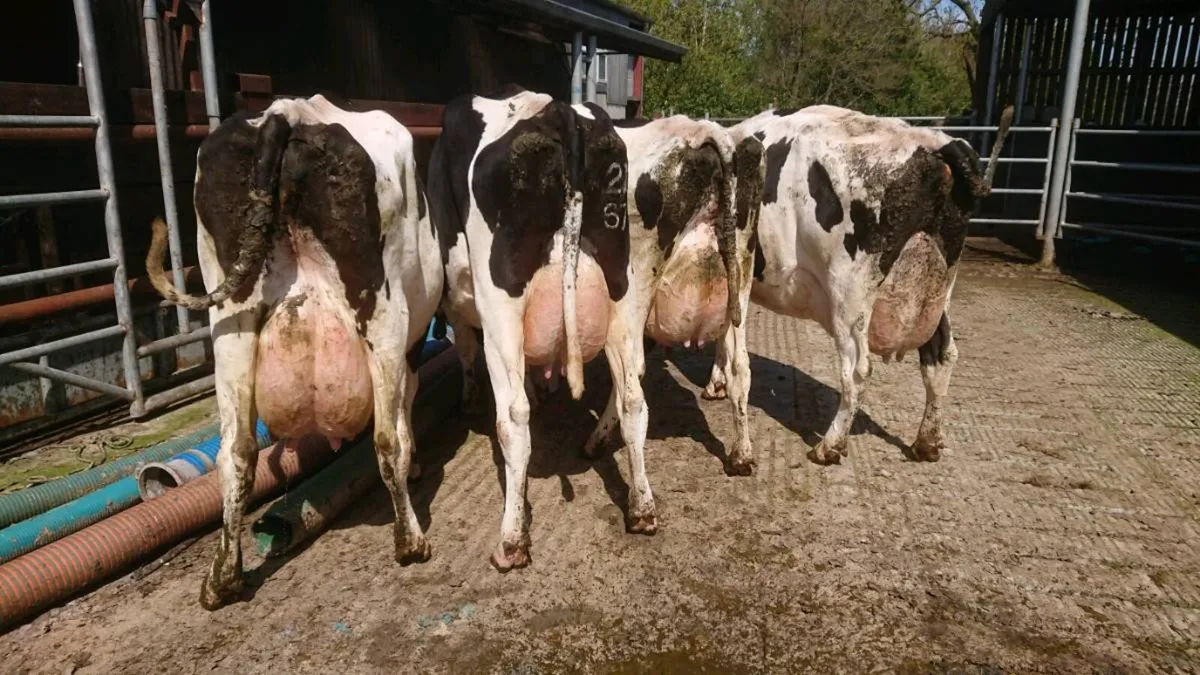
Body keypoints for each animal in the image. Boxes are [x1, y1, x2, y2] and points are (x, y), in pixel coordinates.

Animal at [146, 94, 444, 609]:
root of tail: (289, 112)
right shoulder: (409, 346)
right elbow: (404, 417)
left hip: (232, 324)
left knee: (236, 452)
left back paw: (222, 579)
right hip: (383, 311)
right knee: (386, 440)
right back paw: (410, 542)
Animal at [427, 87, 654, 571]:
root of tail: (558, 110)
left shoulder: (461, 304)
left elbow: (467, 352)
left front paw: (469, 399)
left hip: (500, 305)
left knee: (513, 419)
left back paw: (511, 541)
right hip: (621, 288)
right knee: (633, 400)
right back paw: (642, 509)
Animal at [580, 115, 765, 476]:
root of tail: (704, 130)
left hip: (625, 301)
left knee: (632, 393)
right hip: (739, 285)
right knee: (741, 368)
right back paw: (741, 454)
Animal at [705, 105, 1012, 465]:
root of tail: (934, 145)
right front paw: (716, 382)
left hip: (850, 294)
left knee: (858, 371)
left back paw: (829, 446)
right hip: (938, 293)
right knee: (942, 356)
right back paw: (927, 441)